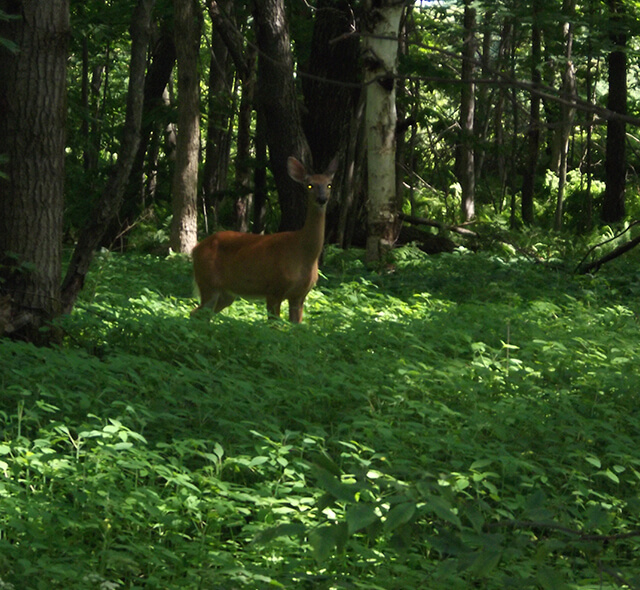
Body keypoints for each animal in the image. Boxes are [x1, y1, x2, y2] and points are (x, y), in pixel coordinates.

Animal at [191, 157, 338, 324]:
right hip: (208, 283)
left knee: (202, 314)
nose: (322, 199)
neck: (303, 253)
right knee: (195, 312)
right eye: (310, 185)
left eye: (329, 184)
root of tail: (195, 249)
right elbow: (274, 325)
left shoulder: (299, 295)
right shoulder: (274, 288)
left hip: (226, 293)